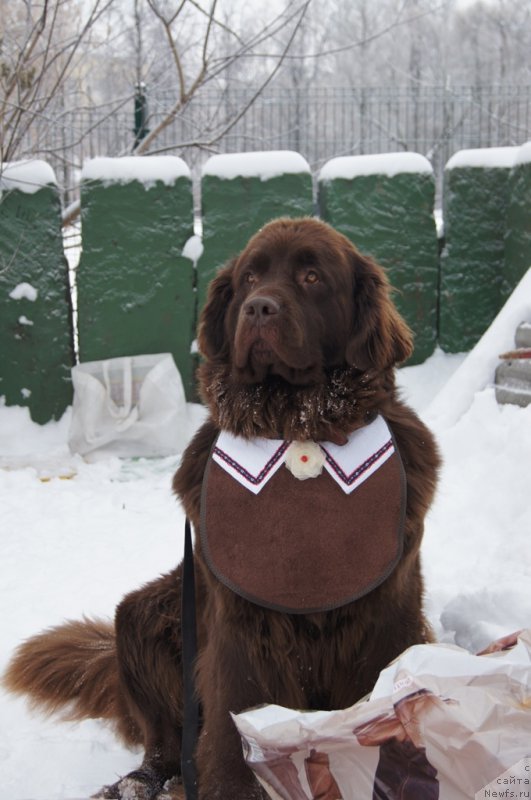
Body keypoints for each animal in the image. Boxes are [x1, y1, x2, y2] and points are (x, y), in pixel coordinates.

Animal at [2, 216, 438, 796]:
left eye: (312, 276)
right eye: (251, 276)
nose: (259, 308)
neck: (297, 423)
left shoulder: (388, 616)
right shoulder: (240, 627)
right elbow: (233, 719)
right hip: (141, 618)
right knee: (163, 741)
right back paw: (139, 782)